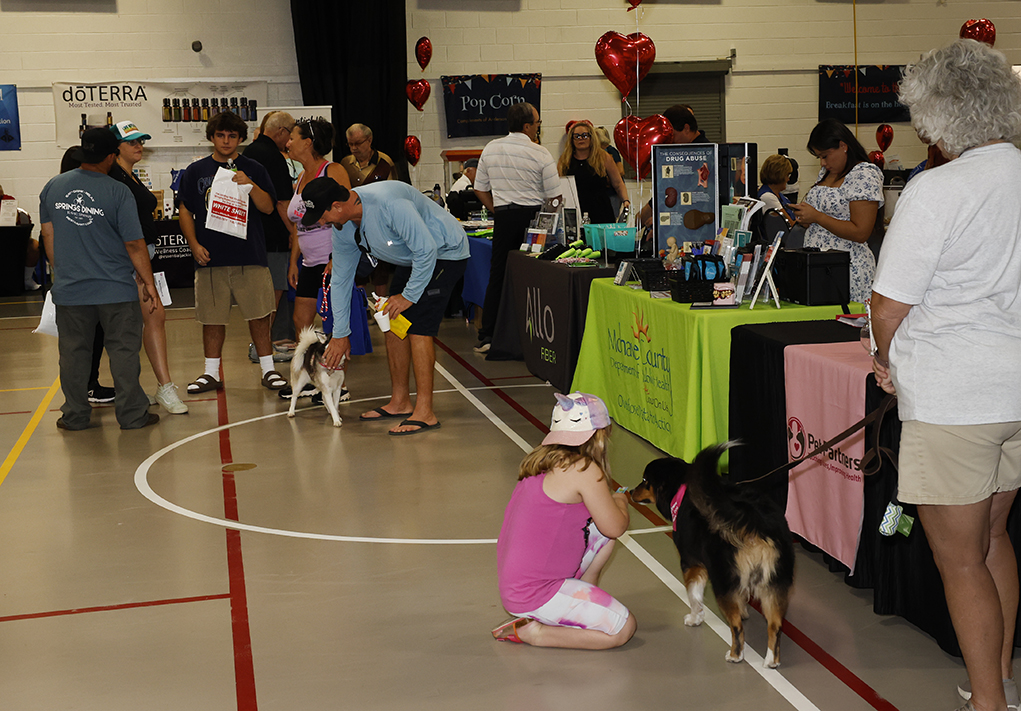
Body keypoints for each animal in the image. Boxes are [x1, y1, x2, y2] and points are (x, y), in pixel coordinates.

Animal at [628, 441, 796, 670]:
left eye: (645, 481)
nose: (630, 492)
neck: (681, 489)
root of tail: (753, 520)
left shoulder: (691, 563)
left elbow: (694, 595)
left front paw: (695, 618)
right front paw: (744, 610)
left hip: (722, 581)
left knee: (736, 627)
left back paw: (735, 655)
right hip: (775, 584)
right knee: (775, 626)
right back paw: (771, 660)